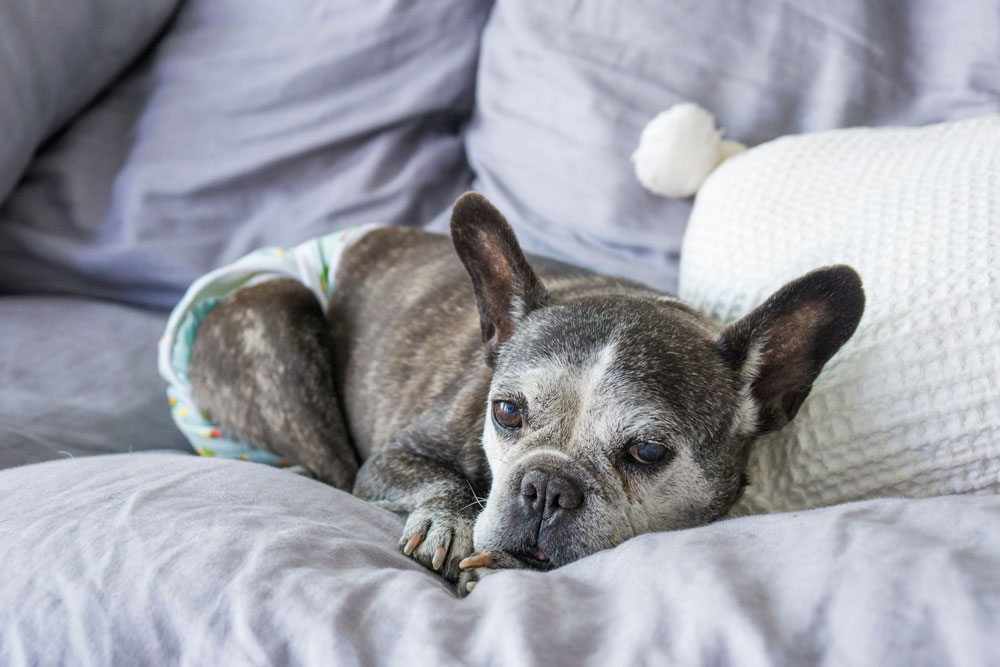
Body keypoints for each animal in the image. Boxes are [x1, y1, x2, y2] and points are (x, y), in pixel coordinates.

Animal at [189, 192, 868, 596]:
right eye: (506, 411)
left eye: (648, 451)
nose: (546, 486)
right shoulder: (392, 455)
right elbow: (435, 479)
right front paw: (449, 524)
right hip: (281, 312)